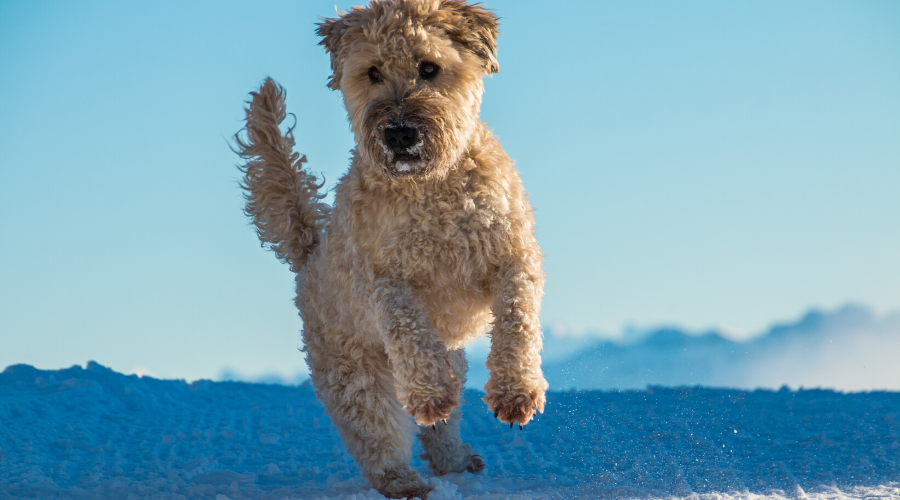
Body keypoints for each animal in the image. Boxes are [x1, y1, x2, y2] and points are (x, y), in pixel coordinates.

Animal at [236, 0, 544, 496]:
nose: (399, 134)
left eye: (429, 67)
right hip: (353, 370)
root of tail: (310, 255)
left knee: (442, 424)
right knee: (376, 429)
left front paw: (516, 393)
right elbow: (408, 327)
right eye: (373, 72)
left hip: (448, 356)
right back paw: (404, 477)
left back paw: (454, 457)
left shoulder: (514, 257)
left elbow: (518, 320)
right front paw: (429, 395)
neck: (431, 190)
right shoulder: (384, 281)